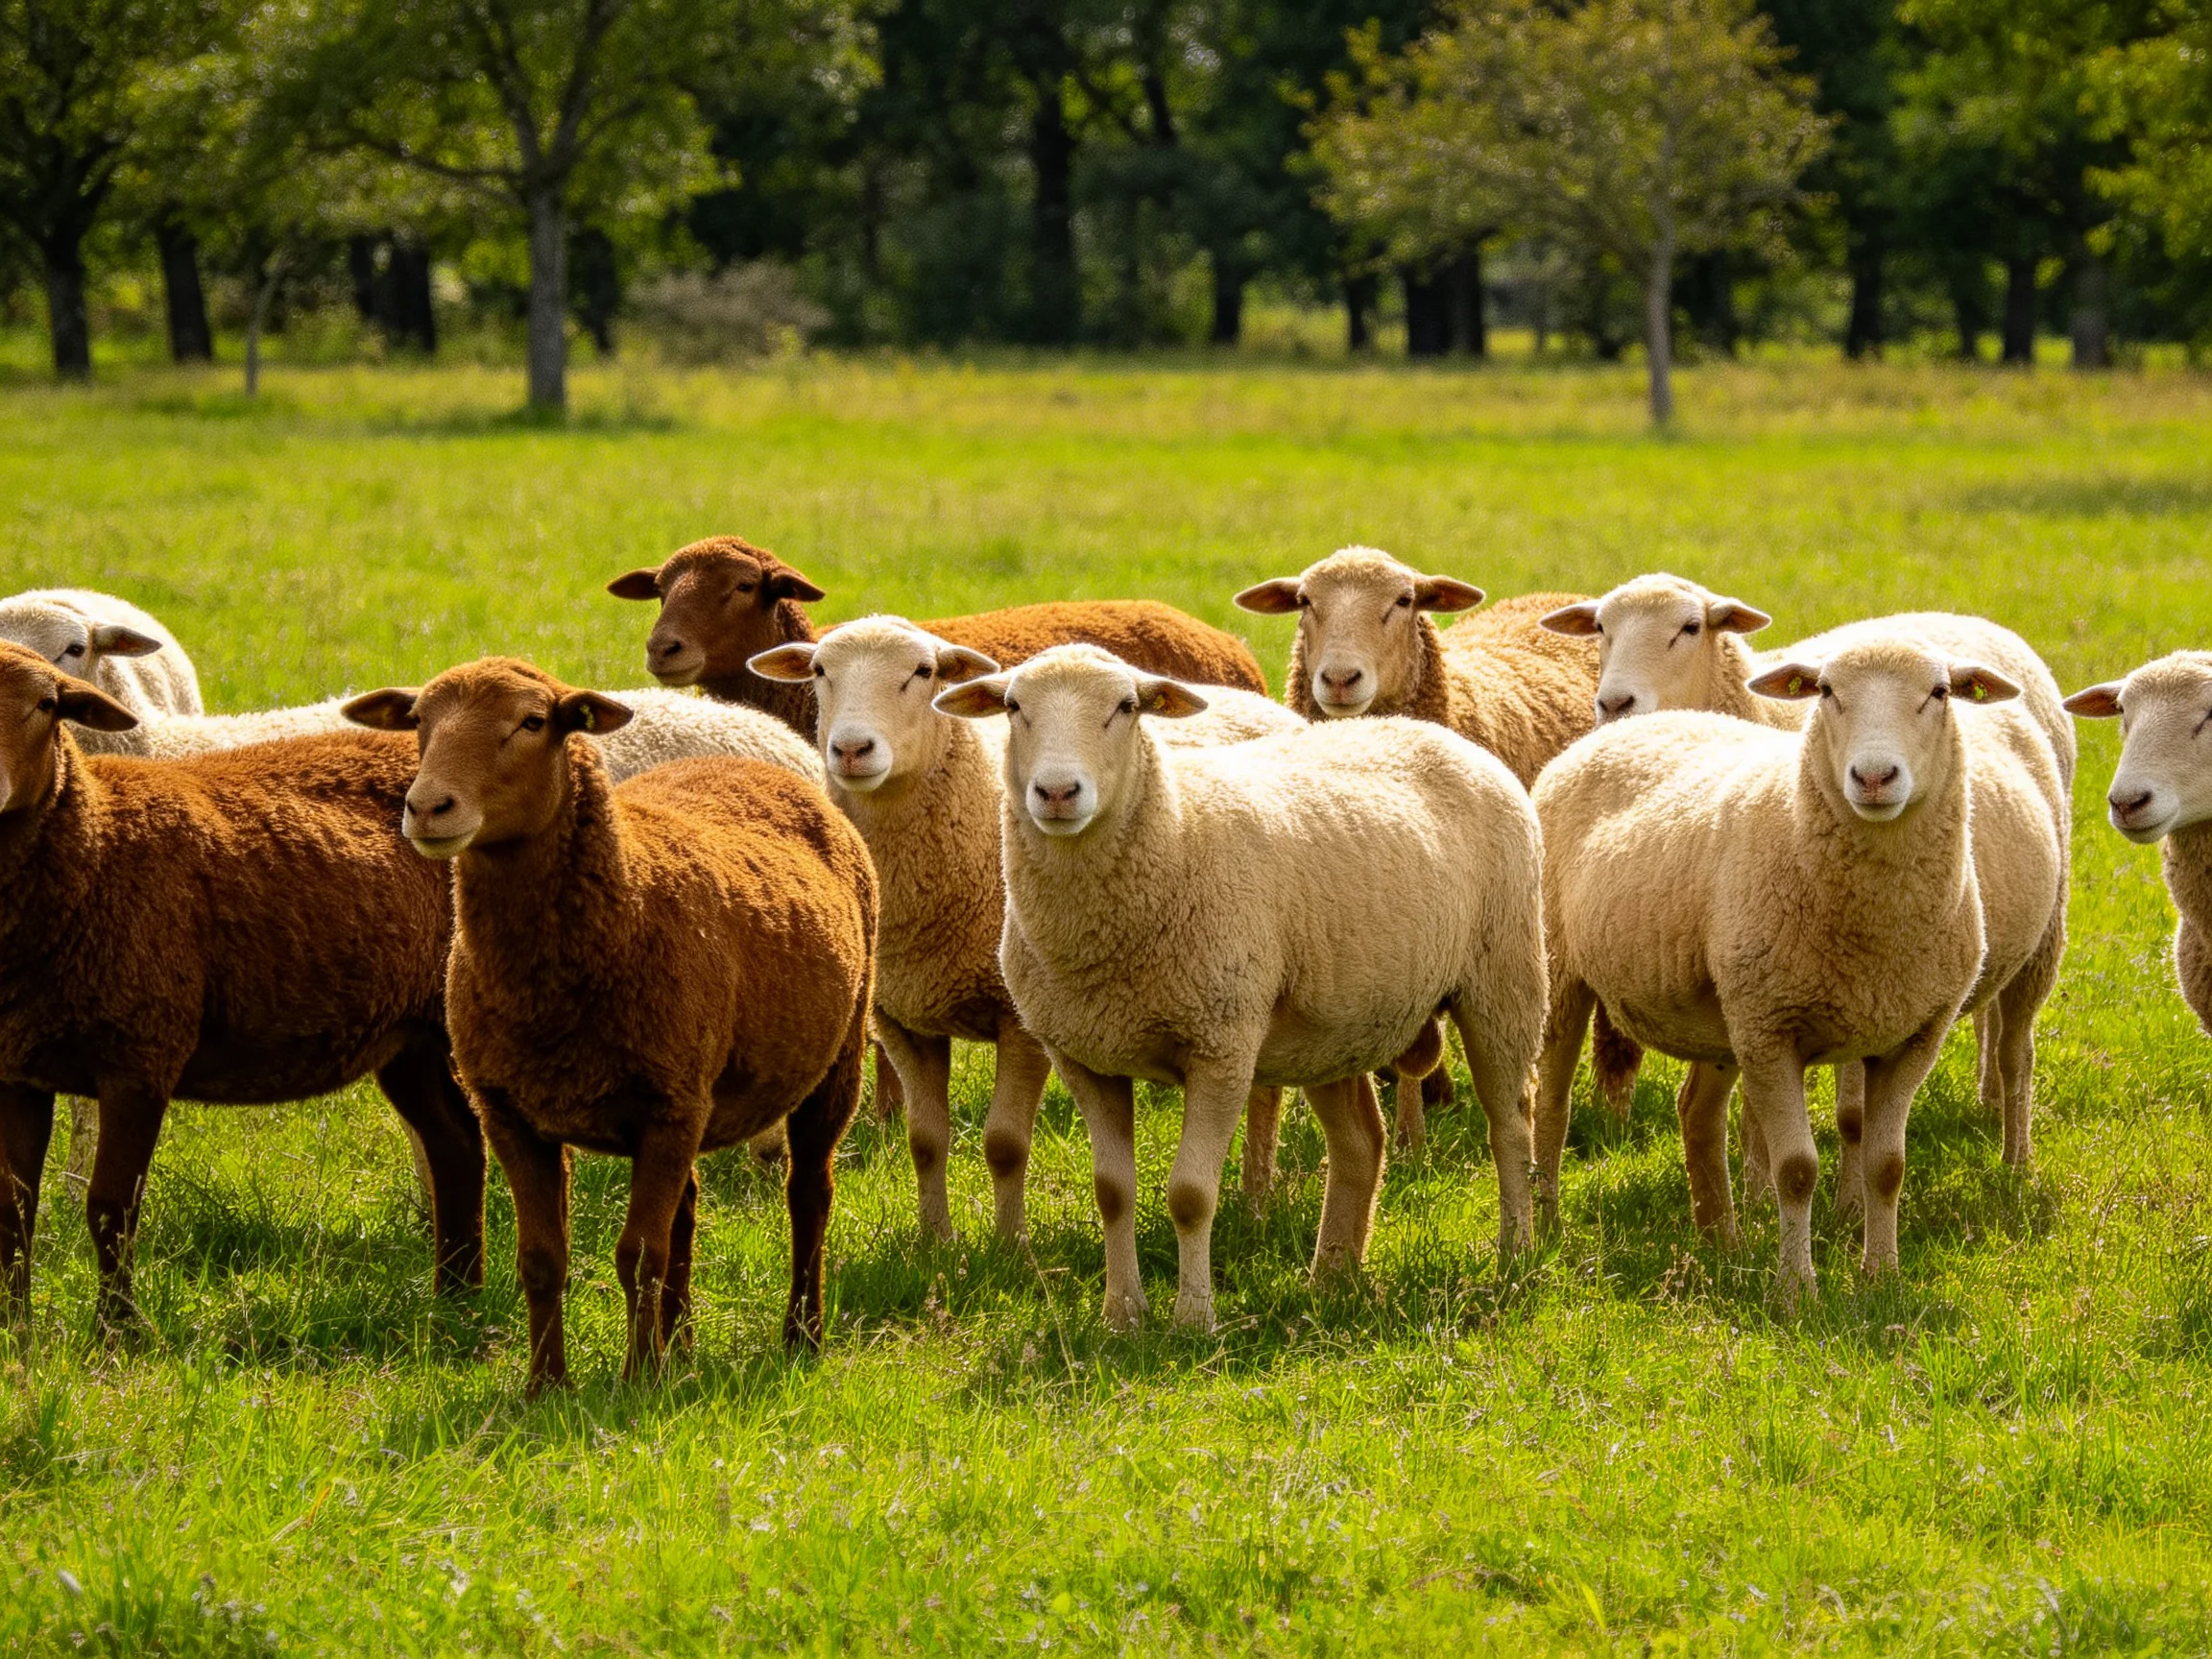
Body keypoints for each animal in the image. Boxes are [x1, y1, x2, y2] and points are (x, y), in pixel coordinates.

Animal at [0, 643, 483, 1329]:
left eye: (47, 705)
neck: (97, 843)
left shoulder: (142, 1056)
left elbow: (111, 1211)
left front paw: (118, 1335)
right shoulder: (19, 1071)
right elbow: (15, 1213)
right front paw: (18, 1336)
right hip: (409, 1035)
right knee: (455, 1145)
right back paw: (454, 1303)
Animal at [344, 658, 877, 1389]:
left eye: (533, 721)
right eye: (419, 721)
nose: (427, 808)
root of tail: (752, 762)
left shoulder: (665, 1107)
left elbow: (637, 1255)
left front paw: (634, 1381)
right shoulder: (513, 1114)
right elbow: (543, 1259)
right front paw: (546, 1386)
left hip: (833, 1058)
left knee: (809, 1194)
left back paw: (801, 1335)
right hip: (692, 1098)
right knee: (687, 1211)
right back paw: (682, 1349)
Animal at [749, 618, 1304, 1242]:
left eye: (924, 671)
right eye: (819, 670)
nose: (850, 749)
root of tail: (1257, 701)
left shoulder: (1021, 1021)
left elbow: (1005, 1143)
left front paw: (1010, 1245)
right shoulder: (901, 1021)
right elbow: (925, 1140)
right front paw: (935, 1241)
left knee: (1264, 1095)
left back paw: (1256, 1202)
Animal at [934, 644, 1548, 1333]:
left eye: (1126, 706)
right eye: (1014, 706)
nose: (1058, 792)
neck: (1174, 832)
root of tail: (1440, 735)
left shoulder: (1222, 1045)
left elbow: (1190, 1195)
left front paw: (1192, 1319)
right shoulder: (1085, 1059)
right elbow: (1112, 1193)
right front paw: (1123, 1315)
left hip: (1503, 977)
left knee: (1510, 1121)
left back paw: (1514, 1253)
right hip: (1333, 1027)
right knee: (1362, 1143)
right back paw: (1332, 1279)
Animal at [1531, 639, 2022, 1297]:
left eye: (1940, 693)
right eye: (1826, 692)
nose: (1873, 778)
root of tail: (1624, 726)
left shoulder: (1913, 1036)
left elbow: (1887, 1166)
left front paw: (1881, 1276)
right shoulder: (1772, 1031)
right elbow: (1796, 1170)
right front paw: (1797, 1289)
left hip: (1725, 1011)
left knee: (1697, 1112)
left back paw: (1722, 1241)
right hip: (1563, 970)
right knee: (1550, 1106)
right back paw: (1548, 1226)